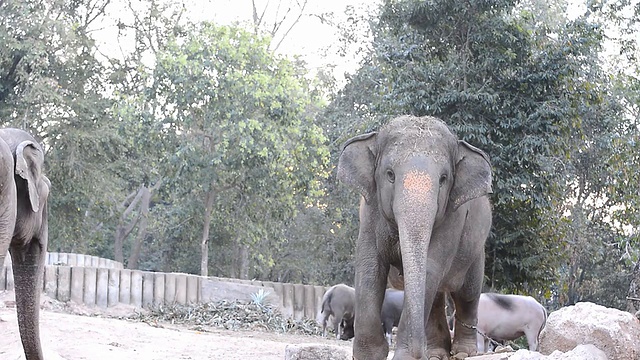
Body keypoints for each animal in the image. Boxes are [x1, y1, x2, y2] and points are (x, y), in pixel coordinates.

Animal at [338, 116, 492, 360]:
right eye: (390, 174)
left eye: (443, 179)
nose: (418, 352)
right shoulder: (370, 211)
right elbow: (369, 266)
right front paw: (370, 355)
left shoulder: (453, 217)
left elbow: (429, 268)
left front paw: (405, 356)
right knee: (437, 299)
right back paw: (437, 353)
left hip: (476, 251)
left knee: (466, 295)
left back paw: (462, 353)